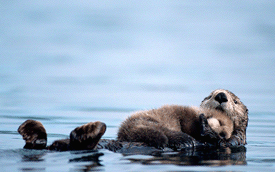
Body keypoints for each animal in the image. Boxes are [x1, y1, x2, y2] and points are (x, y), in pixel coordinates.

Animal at [17, 89, 250, 151]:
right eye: (210, 95)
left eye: (236, 101)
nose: (221, 96)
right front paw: (202, 126)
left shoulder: (235, 141)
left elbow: (221, 141)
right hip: (145, 124)